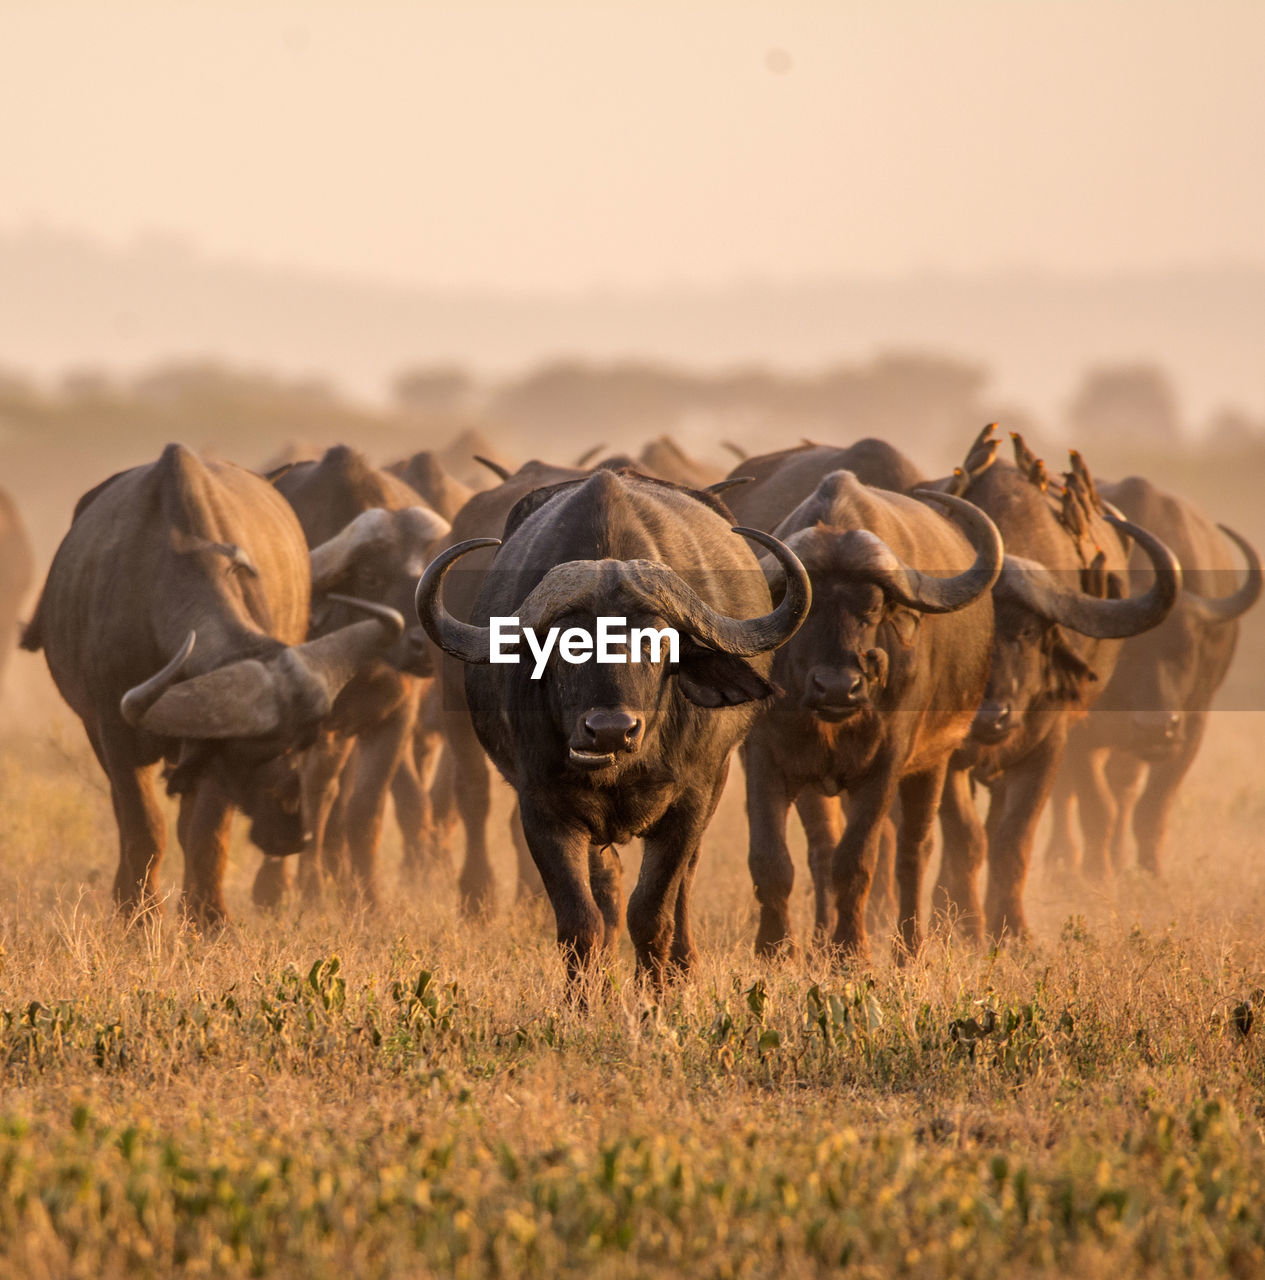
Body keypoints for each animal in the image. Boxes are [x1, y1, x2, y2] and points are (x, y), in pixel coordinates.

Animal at [22, 445, 402, 926]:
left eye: (300, 744)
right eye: (247, 753)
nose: (293, 833)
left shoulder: (206, 758)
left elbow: (206, 831)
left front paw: (208, 918)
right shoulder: (116, 732)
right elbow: (143, 825)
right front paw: (139, 915)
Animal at [417, 471, 809, 988]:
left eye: (658, 640)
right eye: (565, 642)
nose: (609, 730)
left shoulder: (689, 802)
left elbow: (653, 913)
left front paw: (656, 994)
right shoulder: (543, 809)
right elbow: (581, 921)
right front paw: (586, 998)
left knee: (682, 885)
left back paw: (682, 966)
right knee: (607, 891)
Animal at [742, 471, 998, 962]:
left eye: (873, 608)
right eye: (803, 609)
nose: (838, 687)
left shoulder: (885, 765)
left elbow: (857, 859)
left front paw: (850, 952)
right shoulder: (763, 757)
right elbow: (771, 859)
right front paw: (775, 950)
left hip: (935, 761)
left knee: (914, 851)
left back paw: (909, 948)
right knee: (821, 850)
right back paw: (818, 944)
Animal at [932, 430, 1183, 942]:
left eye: (1029, 633)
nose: (990, 716)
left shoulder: (1050, 745)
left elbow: (1013, 836)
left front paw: (1012, 930)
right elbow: (964, 836)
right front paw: (965, 924)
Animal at [1044, 478, 1259, 880]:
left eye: (1187, 650)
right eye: (1124, 654)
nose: (1155, 727)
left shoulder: (1191, 727)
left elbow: (1152, 807)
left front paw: (1151, 872)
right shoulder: (1078, 731)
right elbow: (1095, 804)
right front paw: (1096, 873)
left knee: (1124, 787)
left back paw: (1118, 857)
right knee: (1067, 793)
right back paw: (1063, 858)